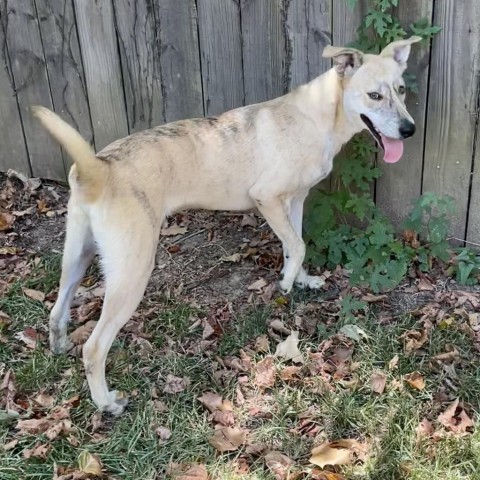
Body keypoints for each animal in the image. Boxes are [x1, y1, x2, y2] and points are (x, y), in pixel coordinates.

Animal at [33, 37, 422, 414]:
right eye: (374, 95)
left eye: (401, 90)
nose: (410, 130)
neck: (320, 115)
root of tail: (97, 168)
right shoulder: (267, 198)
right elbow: (297, 245)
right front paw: (285, 283)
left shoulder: (294, 201)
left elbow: (294, 244)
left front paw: (301, 279)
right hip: (132, 271)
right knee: (94, 347)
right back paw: (106, 403)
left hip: (77, 256)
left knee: (57, 310)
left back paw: (58, 346)